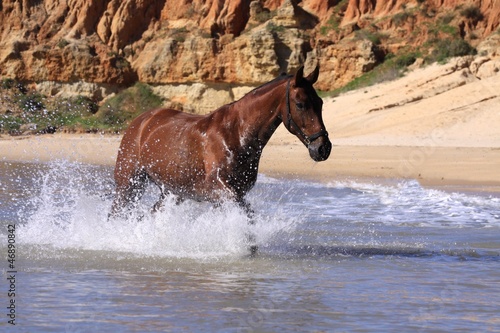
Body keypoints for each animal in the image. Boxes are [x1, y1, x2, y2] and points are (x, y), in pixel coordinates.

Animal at [111, 65, 334, 249]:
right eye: (300, 104)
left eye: (320, 103)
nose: (323, 148)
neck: (235, 134)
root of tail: (141, 121)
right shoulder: (222, 191)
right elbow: (246, 218)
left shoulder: (234, 194)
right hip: (129, 184)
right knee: (117, 213)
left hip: (172, 192)